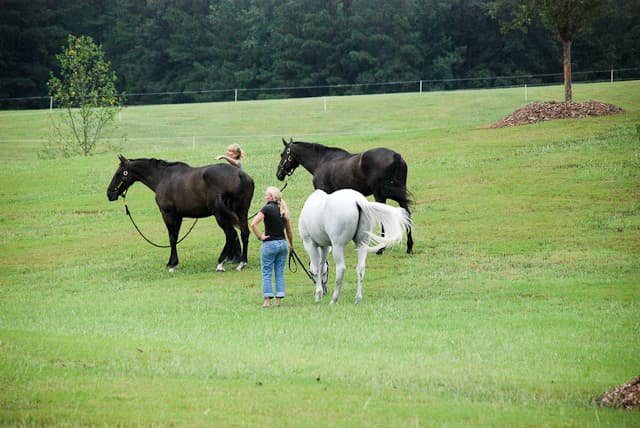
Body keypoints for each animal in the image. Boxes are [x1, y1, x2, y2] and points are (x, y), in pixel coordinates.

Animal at [107, 155, 254, 272]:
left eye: (119, 173)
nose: (109, 193)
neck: (162, 177)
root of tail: (240, 175)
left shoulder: (168, 214)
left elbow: (172, 238)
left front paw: (173, 264)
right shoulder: (178, 216)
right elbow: (175, 237)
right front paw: (172, 262)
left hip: (220, 214)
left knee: (231, 234)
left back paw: (221, 263)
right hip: (241, 212)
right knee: (244, 233)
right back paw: (242, 263)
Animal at [276, 138, 414, 254]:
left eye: (283, 154)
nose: (279, 174)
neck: (321, 161)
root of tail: (396, 156)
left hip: (380, 195)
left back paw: (381, 248)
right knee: (407, 214)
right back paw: (409, 247)